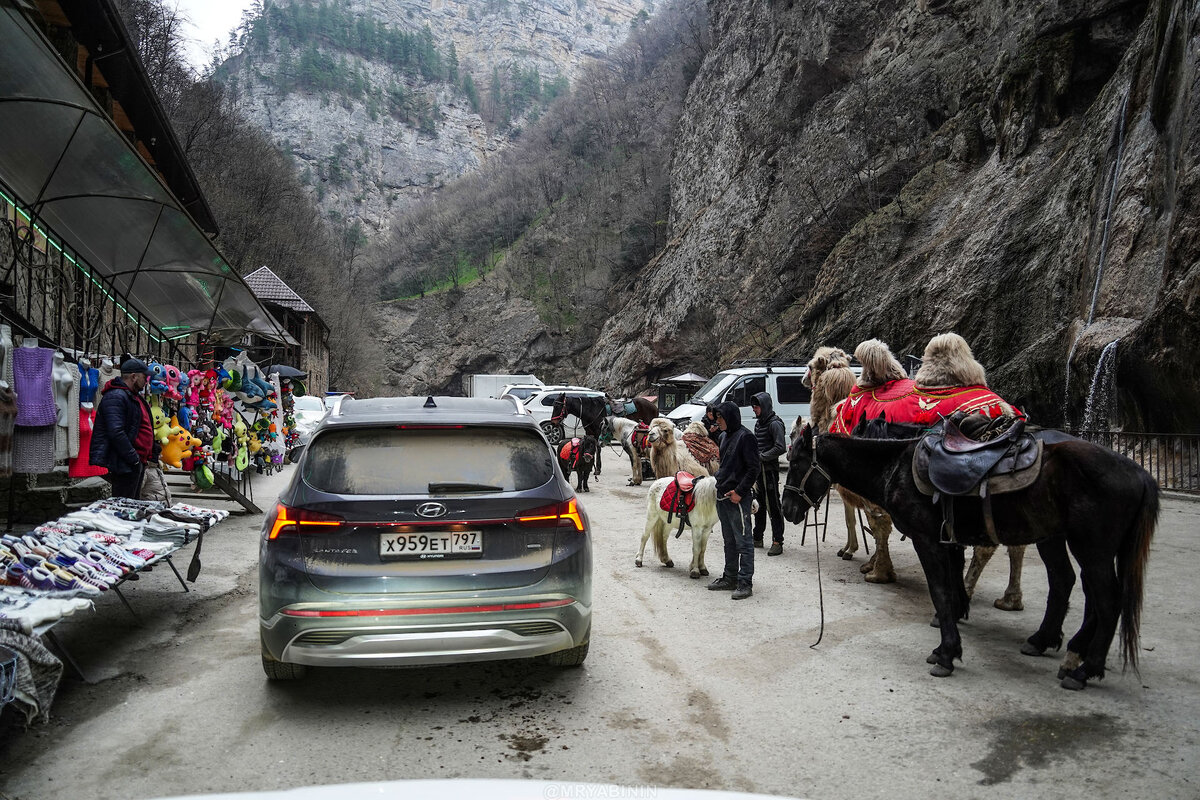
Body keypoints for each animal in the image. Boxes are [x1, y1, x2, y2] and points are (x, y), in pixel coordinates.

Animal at [782, 424, 1156, 690]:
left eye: (797, 462)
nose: (787, 510)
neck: (895, 467)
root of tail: (1140, 473)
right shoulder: (948, 543)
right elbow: (950, 591)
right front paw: (948, 641)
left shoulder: (928, 541)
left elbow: (941, 593)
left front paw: (946, 654)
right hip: (1064, 540)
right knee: (1072, 585)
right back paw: (1051, 644)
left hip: (1091, 548)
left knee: (1106, 600)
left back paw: (1084, 669)